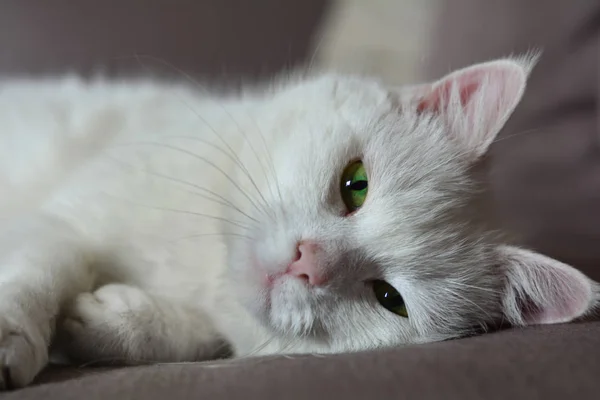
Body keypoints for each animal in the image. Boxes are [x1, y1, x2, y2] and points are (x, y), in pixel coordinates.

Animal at [0, 54, 596, 390]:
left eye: (389, 298)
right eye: (356, 183)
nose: (308, 263)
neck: (203, 267)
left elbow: (202, 337)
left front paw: (115, 321)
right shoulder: (61, 221)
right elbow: (43, 268)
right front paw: (13, 334)